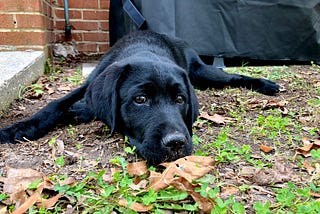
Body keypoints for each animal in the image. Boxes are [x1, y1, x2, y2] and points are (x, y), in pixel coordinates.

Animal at [0, 30, 278, 166]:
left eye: (180, 99)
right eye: (140, 100)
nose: (176, 143)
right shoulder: (90, 84)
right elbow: (55, 105)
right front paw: (17, 128)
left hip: (201, 71)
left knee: (232, 76)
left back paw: (267, 84)